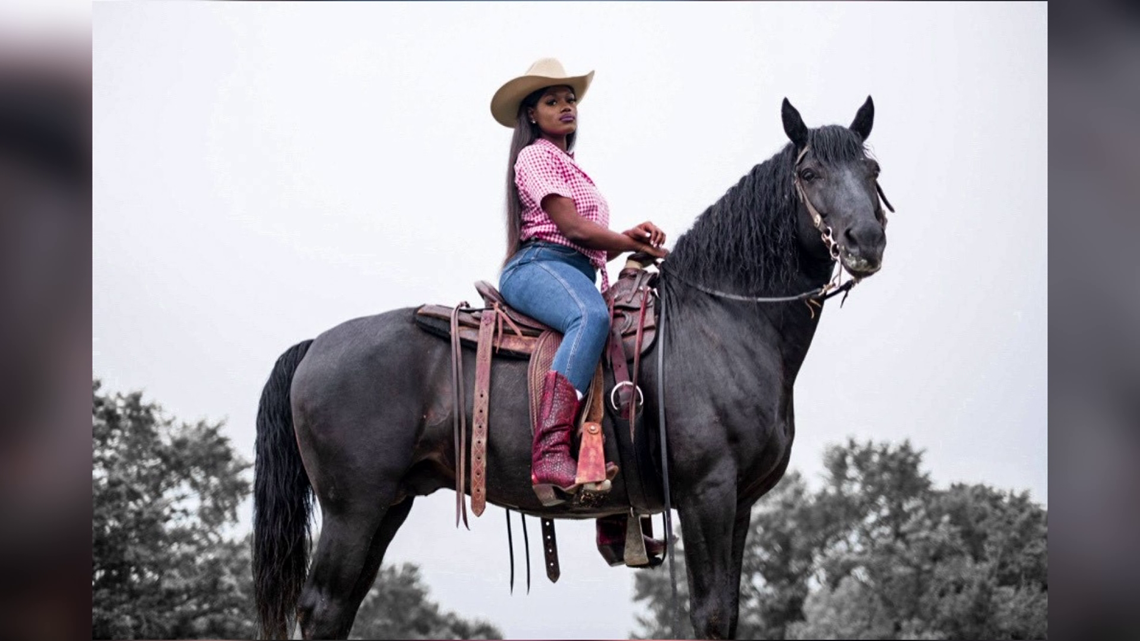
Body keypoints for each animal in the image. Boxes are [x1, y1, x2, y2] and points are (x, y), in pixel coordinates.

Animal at [254, 97, 893, 634]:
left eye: (873, 172)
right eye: (809, 174)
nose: (866, 240)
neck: (722, 319)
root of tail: (315, 345)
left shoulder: (741, 502)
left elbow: (729, 612)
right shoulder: (707, 492)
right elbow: (710, 615)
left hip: (387, 503)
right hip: (352, 507)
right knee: (323, 607)